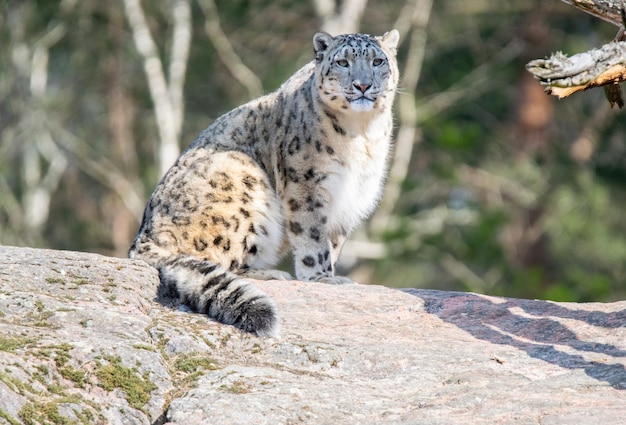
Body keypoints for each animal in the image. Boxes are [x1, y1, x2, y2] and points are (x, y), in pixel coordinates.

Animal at [128, 28, 400, 336]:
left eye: (378, 61)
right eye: (343, 62)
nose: (363, 85)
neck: (363, 133)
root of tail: (143, 238)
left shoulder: (351, 196)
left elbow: (332, 240)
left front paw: (330, 272)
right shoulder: (306, 182)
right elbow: (312, 236)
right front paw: (321, 277)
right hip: (242, 178)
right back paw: (272, 273)